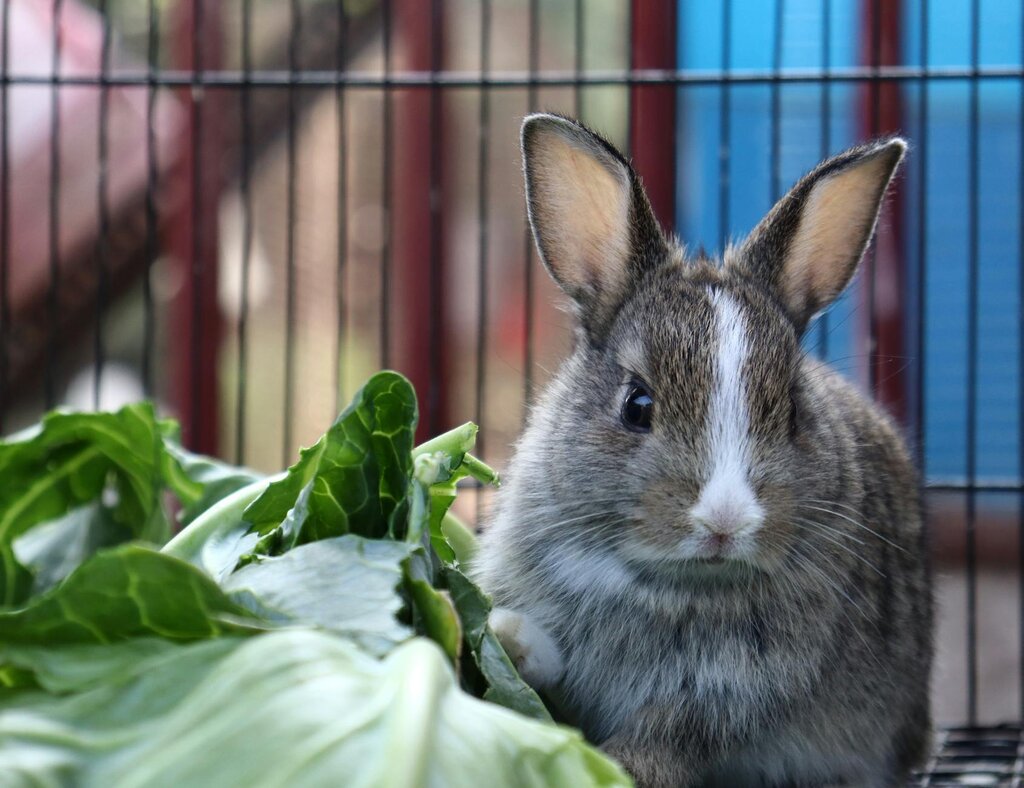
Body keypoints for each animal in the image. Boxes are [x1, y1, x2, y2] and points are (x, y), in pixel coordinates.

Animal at [474, 113, 933, 788]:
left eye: (792, 412)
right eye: (636, 405)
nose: (725, 521)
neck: (668, 583)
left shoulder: (727, 691)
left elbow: (671, 733)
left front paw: (620, 768)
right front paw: (508, 638)